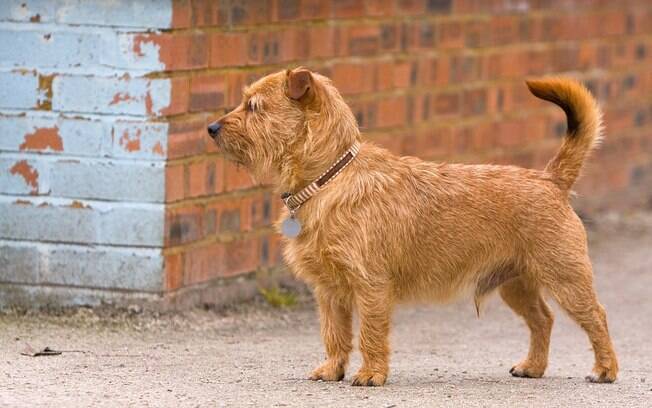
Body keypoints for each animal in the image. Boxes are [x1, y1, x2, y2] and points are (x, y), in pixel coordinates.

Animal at [206, 67, 620, 386]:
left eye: (253, 107)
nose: (211, 127)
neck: (329, 178)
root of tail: (551, 179)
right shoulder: (329, 292)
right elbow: (334, 334)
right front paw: (332, 370)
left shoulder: (370, 285)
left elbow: (370, 333)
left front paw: (371, 374)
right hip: (515, 284)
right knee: (543, 320)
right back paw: (533, 367)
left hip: (565, 277)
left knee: (596, 316)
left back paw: (605, 370)